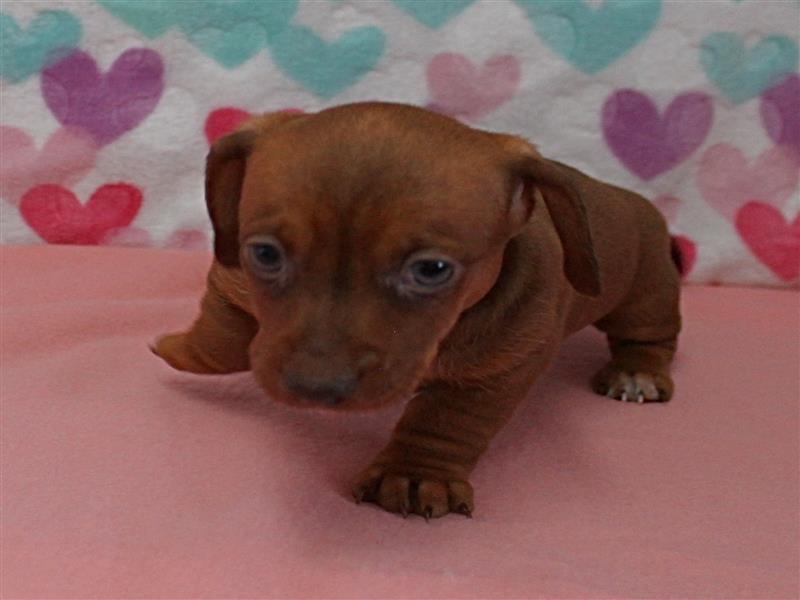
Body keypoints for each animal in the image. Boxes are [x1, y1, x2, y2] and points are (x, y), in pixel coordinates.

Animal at [153, 102, 681, 519]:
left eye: (432, 269)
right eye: (265, 254)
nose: (315, 388)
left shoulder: (502, 367)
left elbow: (446, 420)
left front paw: (413, 472)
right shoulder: (234, 279)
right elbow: (224, 331)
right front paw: (185, 349)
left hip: (647, 291)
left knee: (651, 336)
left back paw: (637, 372)